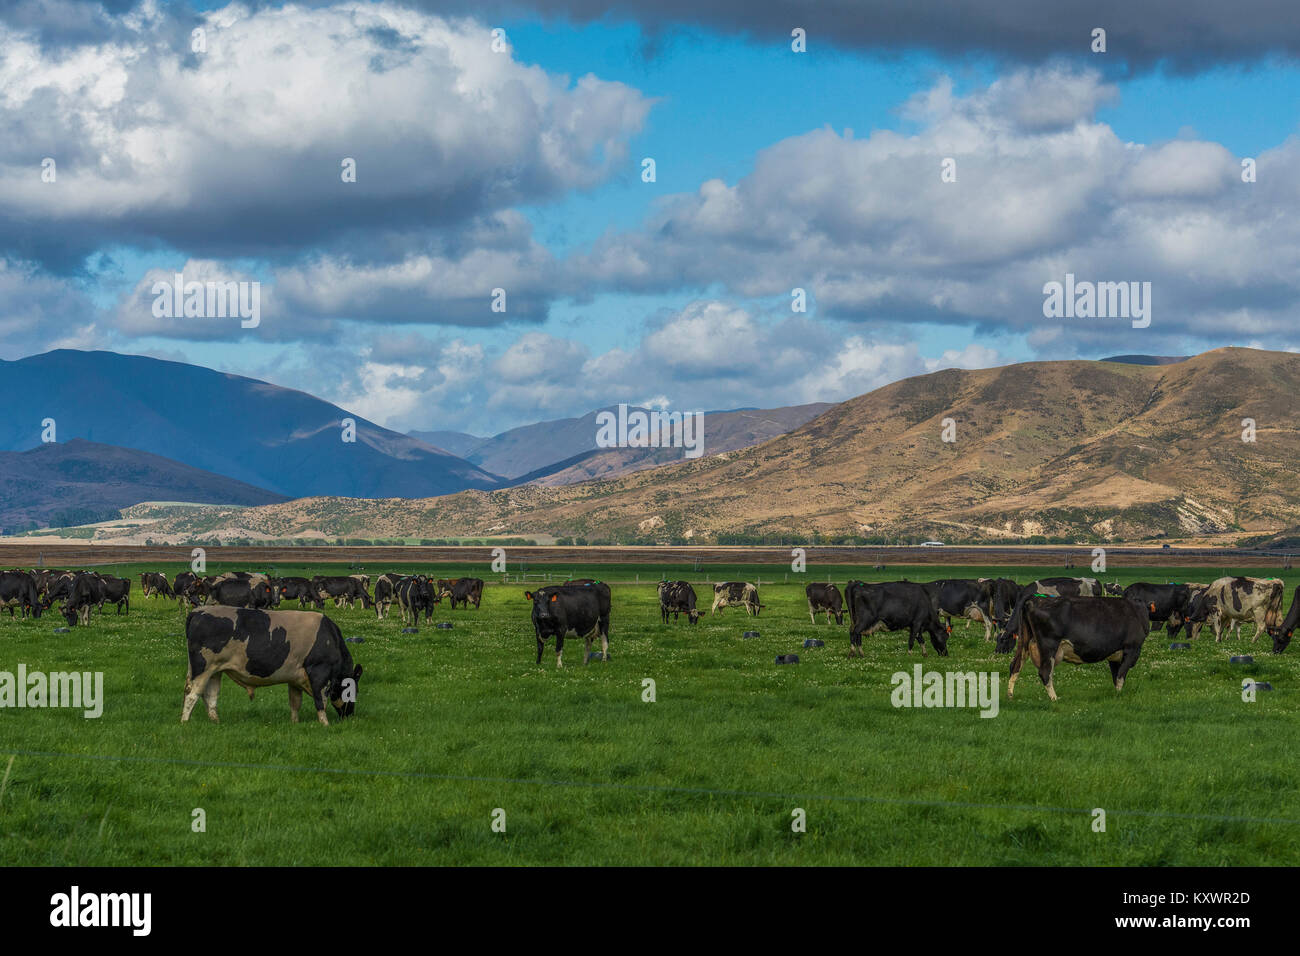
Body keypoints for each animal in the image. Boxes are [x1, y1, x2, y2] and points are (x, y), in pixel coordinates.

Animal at [993, 595, 1149, 697]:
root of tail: (1035, 599)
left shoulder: (1114, 655)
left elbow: (1116, 676)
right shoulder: (1132, 649)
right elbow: (1121, 676)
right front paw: (1118, 695)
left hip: (1024, 642)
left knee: (1015, 666)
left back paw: (1010, 695)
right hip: (1049, 646)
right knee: (1045, 672)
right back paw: (1054, 698)